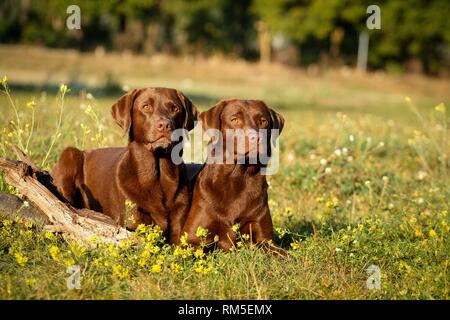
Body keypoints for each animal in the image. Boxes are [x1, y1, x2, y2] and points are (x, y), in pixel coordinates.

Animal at [51, 86, 198, 241]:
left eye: (175, 108)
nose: (164, 125)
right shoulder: (134, 223)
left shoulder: (178, 225)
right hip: (69, 154)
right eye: (146, 107)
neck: (159, 175)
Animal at [180, 100, 284, 252]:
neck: (238, 175)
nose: (256, 138)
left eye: (263, 121)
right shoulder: (190, 241)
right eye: (234, 119)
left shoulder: (265, 241)